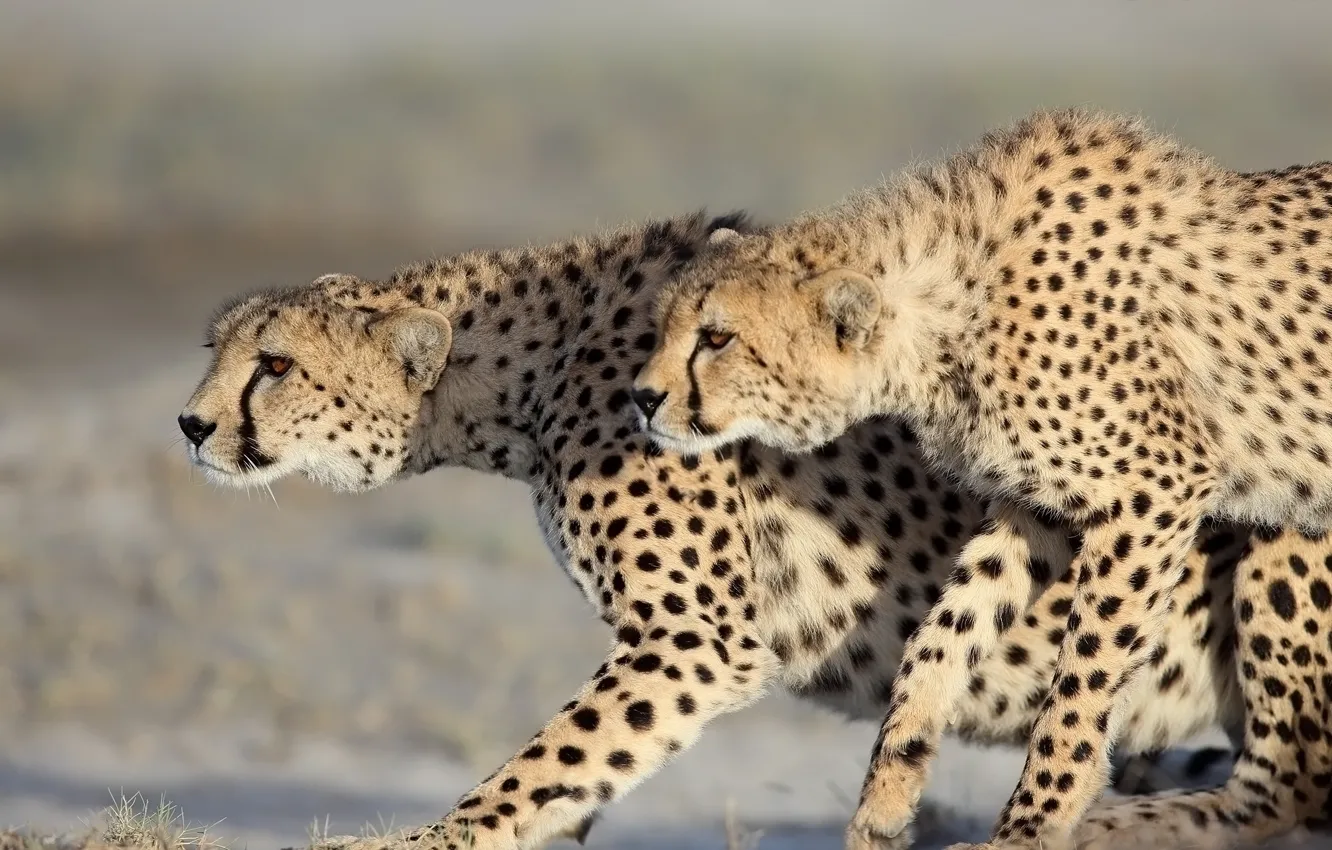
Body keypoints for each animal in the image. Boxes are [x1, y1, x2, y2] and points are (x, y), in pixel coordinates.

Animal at [178, 208, 1314, 850]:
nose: (189, 425)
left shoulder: (695, 639)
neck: (528, 364)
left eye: (274, 365)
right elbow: (578, 768)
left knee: (1285, 779)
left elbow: (545, 759)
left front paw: (428, 840)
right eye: (217, 350)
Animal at [634, 108, 1332, 849]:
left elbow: (1080, 681)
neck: (950, 304)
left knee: (1281, 781)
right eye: (664, 326)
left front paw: (1031, 825)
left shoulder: (1154, 493)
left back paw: (1119, 825)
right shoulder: (1039, 511)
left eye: (717, 338)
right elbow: (940, 636)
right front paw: (887, 796)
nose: (642, 398)